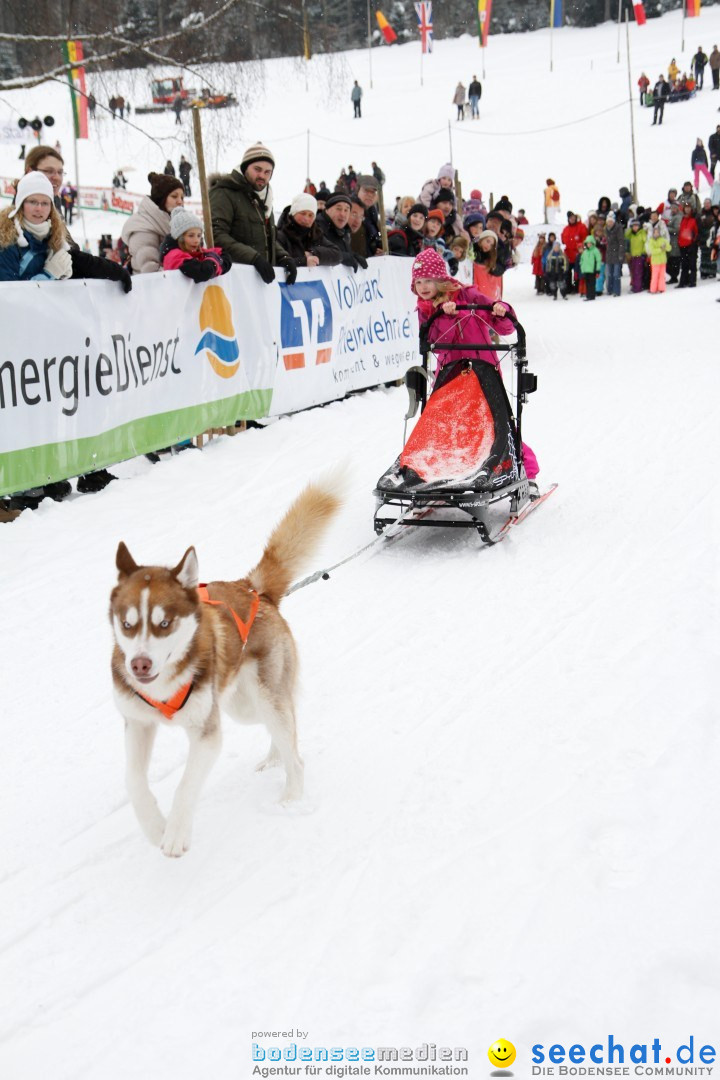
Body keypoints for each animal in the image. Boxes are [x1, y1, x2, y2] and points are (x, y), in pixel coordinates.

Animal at [109, 481, 341, 859]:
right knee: (285, 726)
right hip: (242, 706)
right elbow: (133, 781)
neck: (165, 685)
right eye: (128, 624)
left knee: (294, 746)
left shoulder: (207, 734)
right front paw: (155, 827)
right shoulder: (138, 723)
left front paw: (174, 833)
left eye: (164, 623)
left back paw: (291, 798)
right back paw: (274, 758)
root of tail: (253, 589)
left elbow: (186, 785)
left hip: (260, 697)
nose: (139, 664)